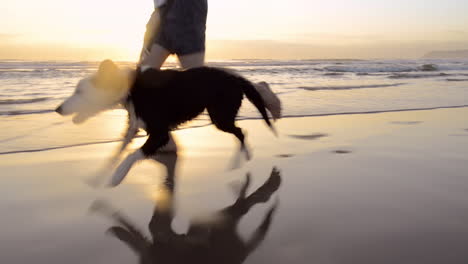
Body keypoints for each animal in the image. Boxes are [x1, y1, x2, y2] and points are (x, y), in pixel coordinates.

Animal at [56, 60, 276, 187]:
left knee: (240, 132)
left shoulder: (159, 133)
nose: (58, 109)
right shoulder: (133, 127)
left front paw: (118, 176)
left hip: (220, 117)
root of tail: (235, 77)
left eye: (79, 91)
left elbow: (132, 154)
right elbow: (117, 151)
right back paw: (242, 158)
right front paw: (97, 176)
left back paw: (239, 160)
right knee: (241, 132)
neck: (130, 88)